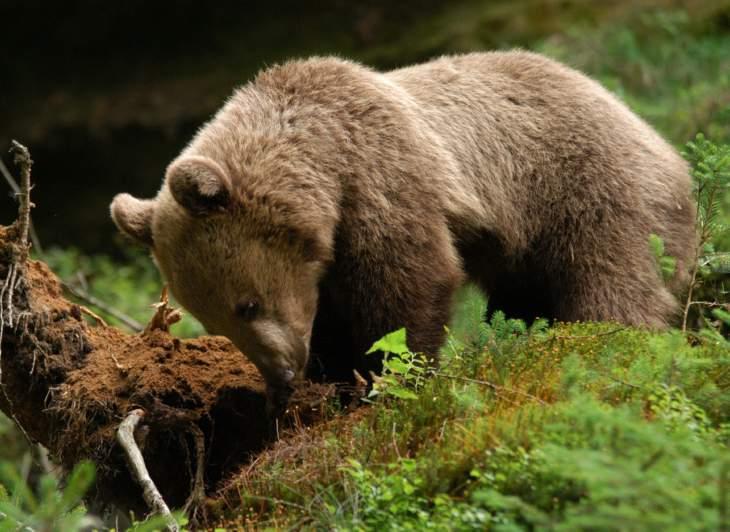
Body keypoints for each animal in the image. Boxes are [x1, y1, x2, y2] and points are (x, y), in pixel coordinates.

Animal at [109, 52, 692, 412]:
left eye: (246, 304)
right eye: (212, 322)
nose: (283, 375)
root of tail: (670, 150)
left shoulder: (384, 180)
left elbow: (405, 289)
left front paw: (388, 378)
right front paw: (328, 378)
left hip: (590, 193)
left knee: (614, 280)